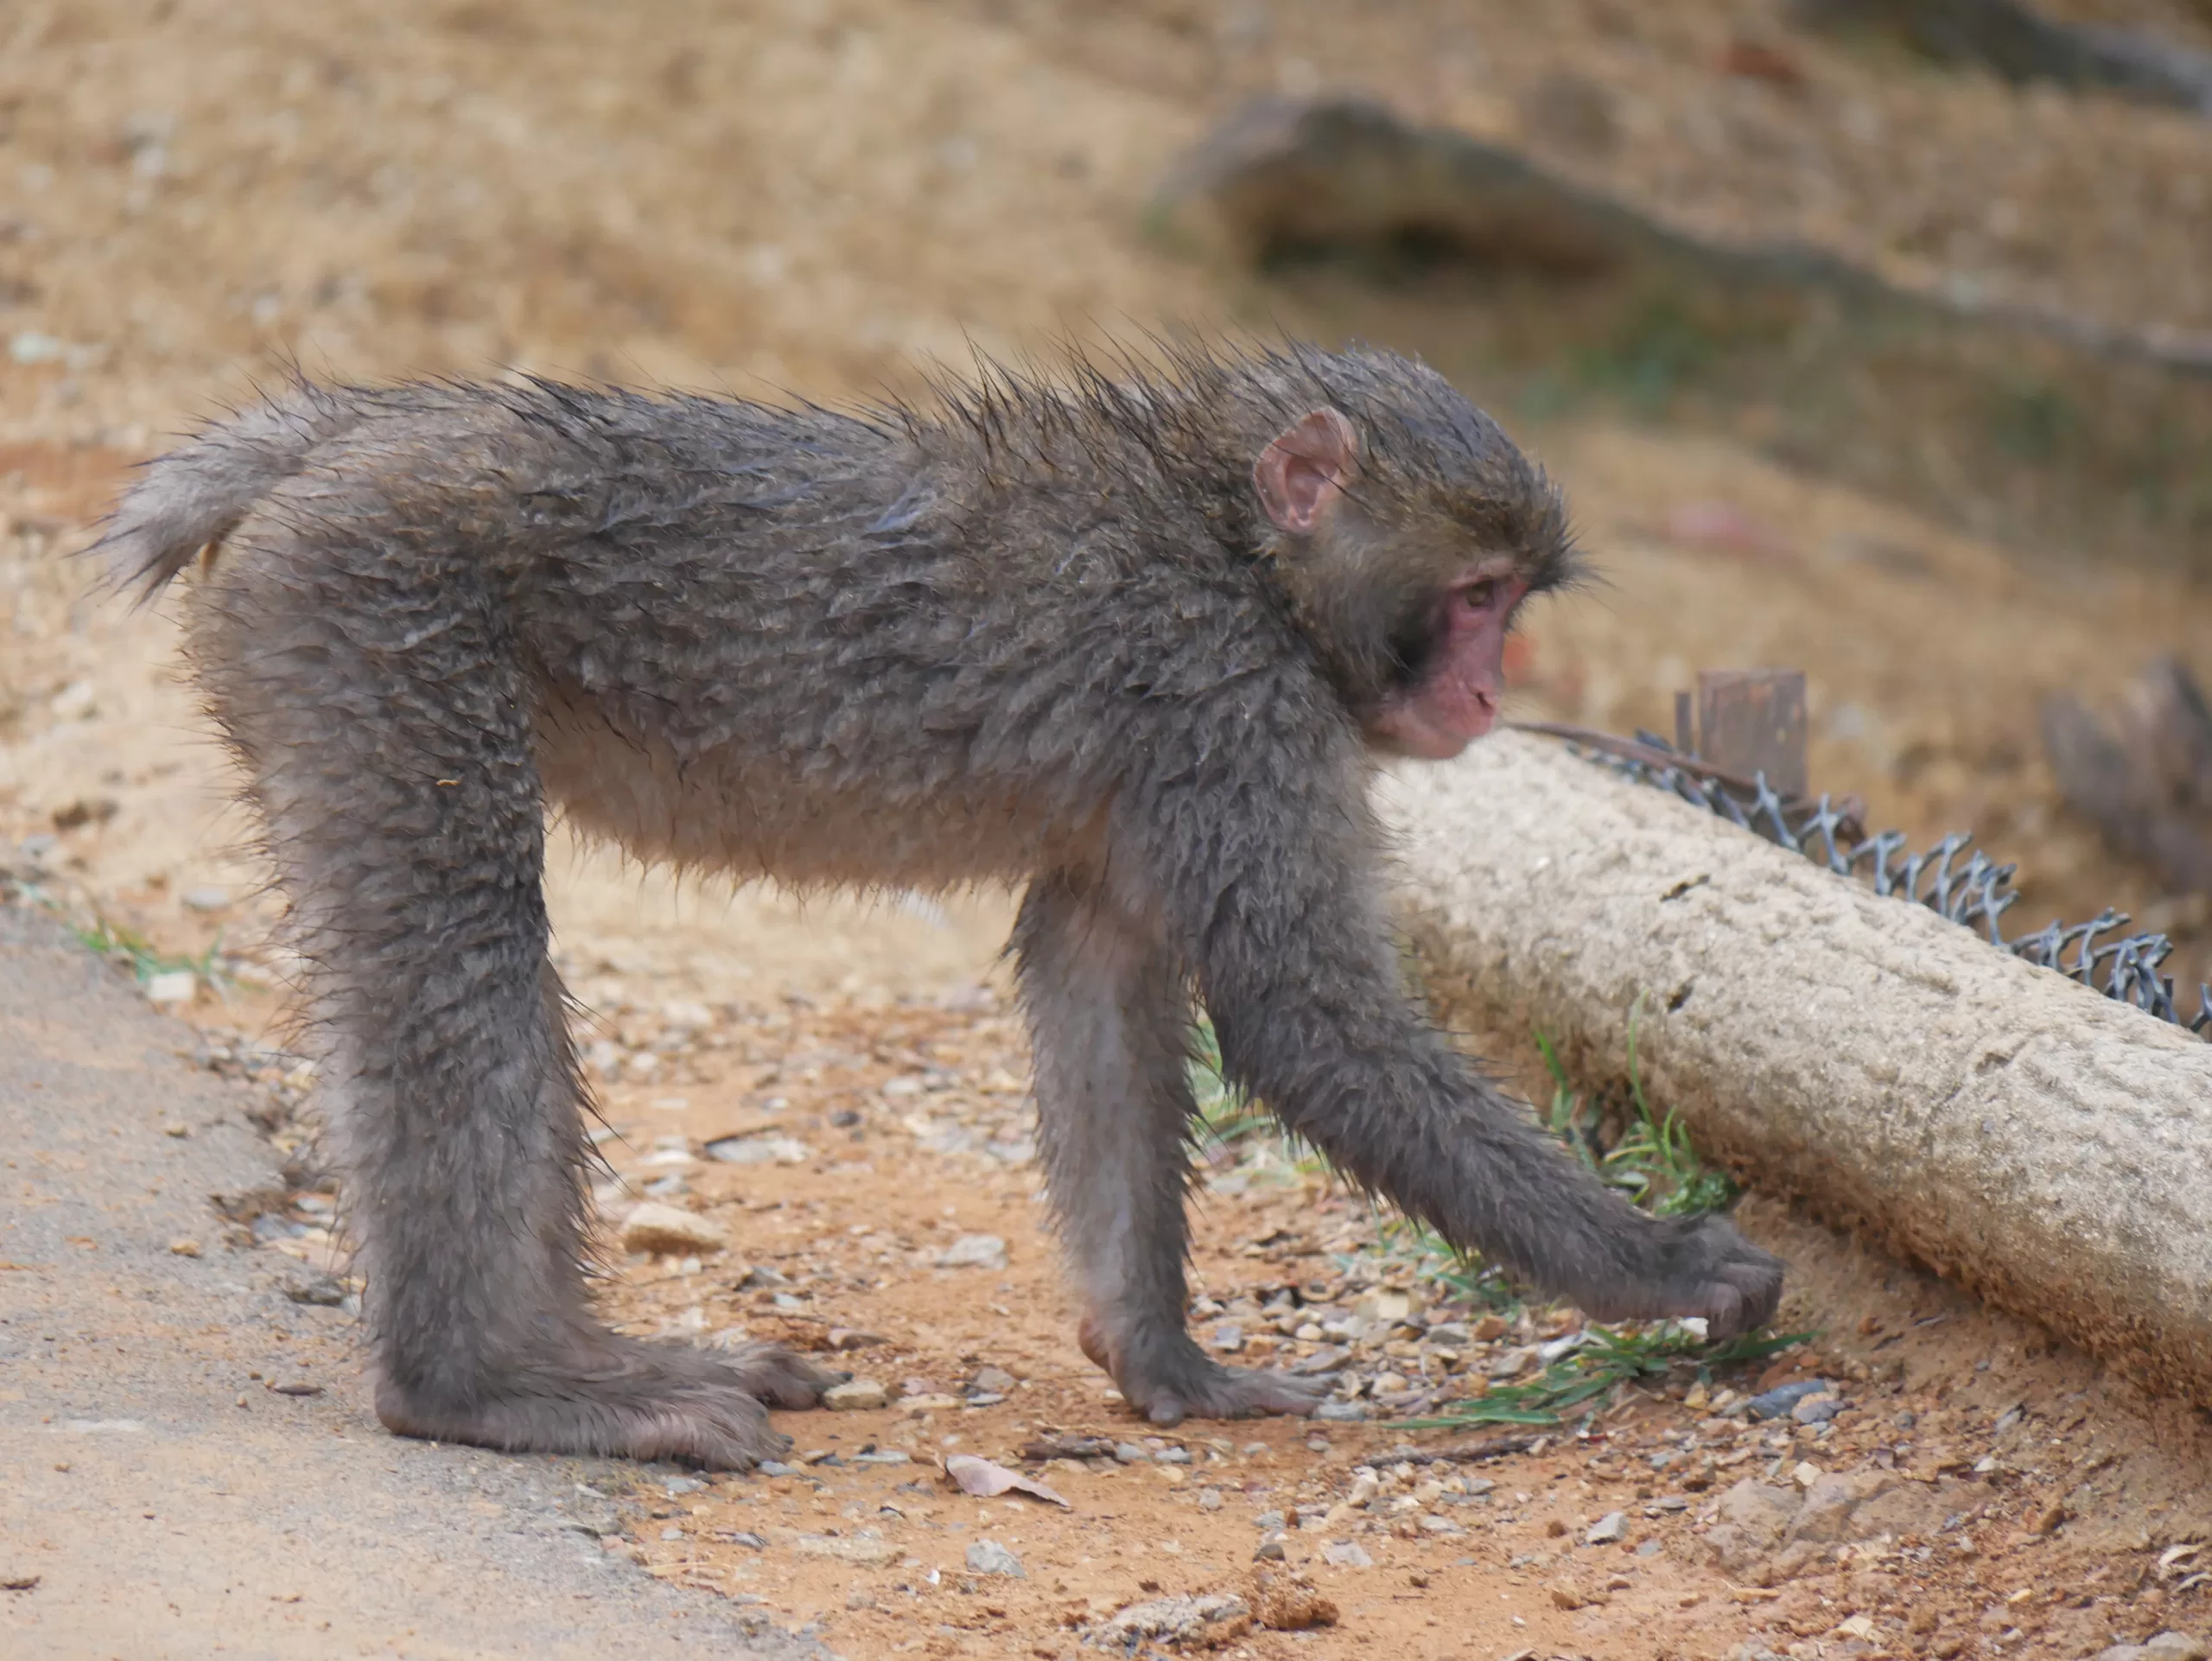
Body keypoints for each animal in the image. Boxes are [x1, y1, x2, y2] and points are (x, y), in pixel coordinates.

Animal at [104, 345, 1787, 1460]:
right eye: (1477, 594)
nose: (1490, 692)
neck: (1236, 543)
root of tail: (352, 437)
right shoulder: (1235, 703)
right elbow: (1306, 1022)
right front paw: (1668, 1265)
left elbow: (1100, 970)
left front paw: (1160, 1360)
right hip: (373, 613)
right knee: (464, 940)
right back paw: (480, 1385)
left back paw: (570, 1349)